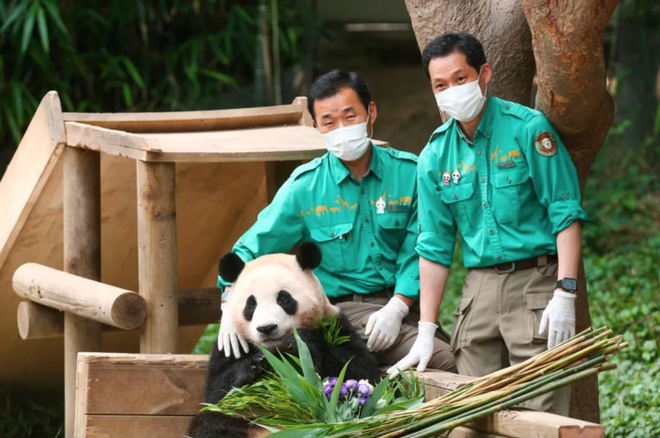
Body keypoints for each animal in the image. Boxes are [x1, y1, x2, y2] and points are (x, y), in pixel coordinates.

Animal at [187, 241, 382, 438]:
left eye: (283, 298)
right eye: (251, 304)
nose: (267, 328)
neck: (276, 349)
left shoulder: (336, 326)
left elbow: (363, 372)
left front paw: (301, 341)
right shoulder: (230, 345)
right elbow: (215, 393)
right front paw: (256, 363)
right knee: (210, 423)